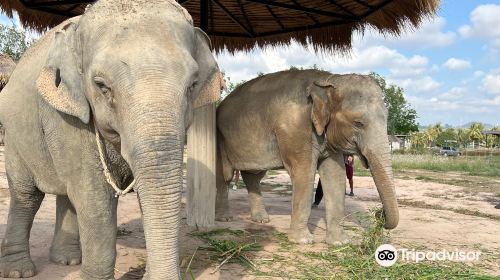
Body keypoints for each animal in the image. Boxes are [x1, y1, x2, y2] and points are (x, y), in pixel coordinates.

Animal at [0, 1, 223, 278]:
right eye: (101, 85)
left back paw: (67, 261)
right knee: (27, 194)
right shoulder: (67, 116)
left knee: (67, 194)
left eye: (193, 85)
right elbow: (94, 197)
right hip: (14, 138)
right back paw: (19, 271)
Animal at [215, 70, 398, 245]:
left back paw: (261, 220)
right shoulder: (295, 129)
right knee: (225, 176)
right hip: (219, 138)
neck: (327, 80)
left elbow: (335, 176)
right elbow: (304, 172)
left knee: (253, 176)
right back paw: (225, 218)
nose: (379, 214)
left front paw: (340, 242)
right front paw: (302, 241)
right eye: (358, 123)